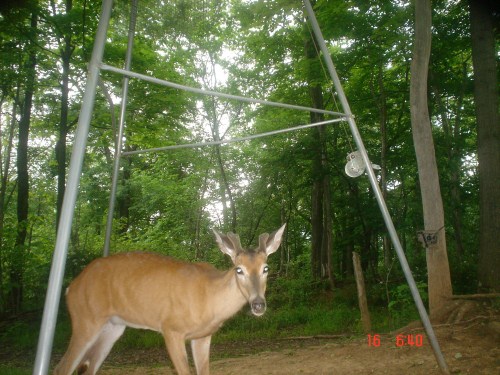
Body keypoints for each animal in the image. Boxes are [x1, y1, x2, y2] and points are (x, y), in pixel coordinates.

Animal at [54, 225, 286, 374]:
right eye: (239, 270)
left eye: (266, 268)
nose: (258, 304)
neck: (209, 300)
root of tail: (71, 287)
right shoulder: (171, 328)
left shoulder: (203, 336)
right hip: (85, 319)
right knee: (61, 368)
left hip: (112, 327)